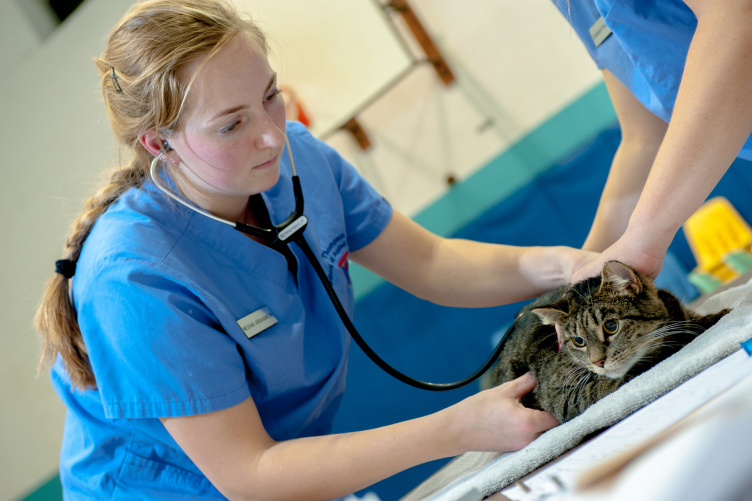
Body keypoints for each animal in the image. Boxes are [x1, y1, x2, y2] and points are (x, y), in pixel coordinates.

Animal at [488, 262, 728, 422]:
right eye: (579, 341)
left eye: (611, 326)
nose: (598, 362)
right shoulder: (560, 395)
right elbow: (602, 387)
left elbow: (694, 320)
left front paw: (718, 315)